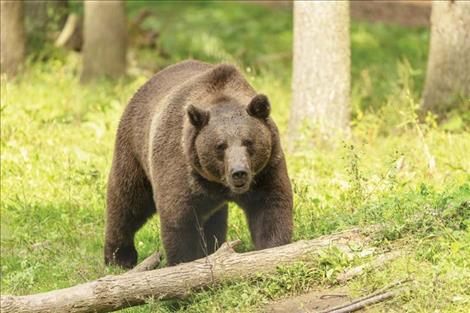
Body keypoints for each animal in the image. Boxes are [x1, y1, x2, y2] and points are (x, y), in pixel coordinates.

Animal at [104, 59, 292, 266]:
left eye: (248, 141)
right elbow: (178, 219)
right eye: (220, 145)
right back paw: (119, 256)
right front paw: (184, 260)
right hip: (134, 150)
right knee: (127, 200)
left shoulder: (266, 170)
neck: (217, 183)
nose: (239, 172)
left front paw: (272, 249)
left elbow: (271, 207)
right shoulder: (180, 167)